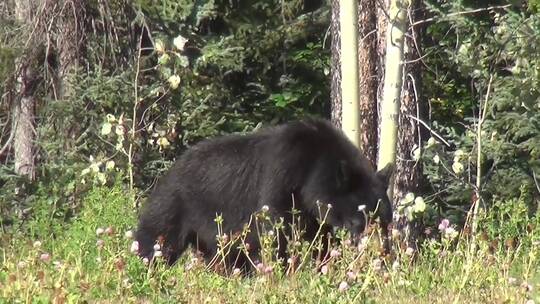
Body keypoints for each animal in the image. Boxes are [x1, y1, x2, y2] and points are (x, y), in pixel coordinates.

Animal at [135, 118, 392, 268]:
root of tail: (170, 170)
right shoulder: (281, 178)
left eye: (387, 221)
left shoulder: (314, 213)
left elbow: (320, 239)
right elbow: (276, 229)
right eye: (360, 220)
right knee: (156, 238)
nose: (383, 253)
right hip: (175, 205)